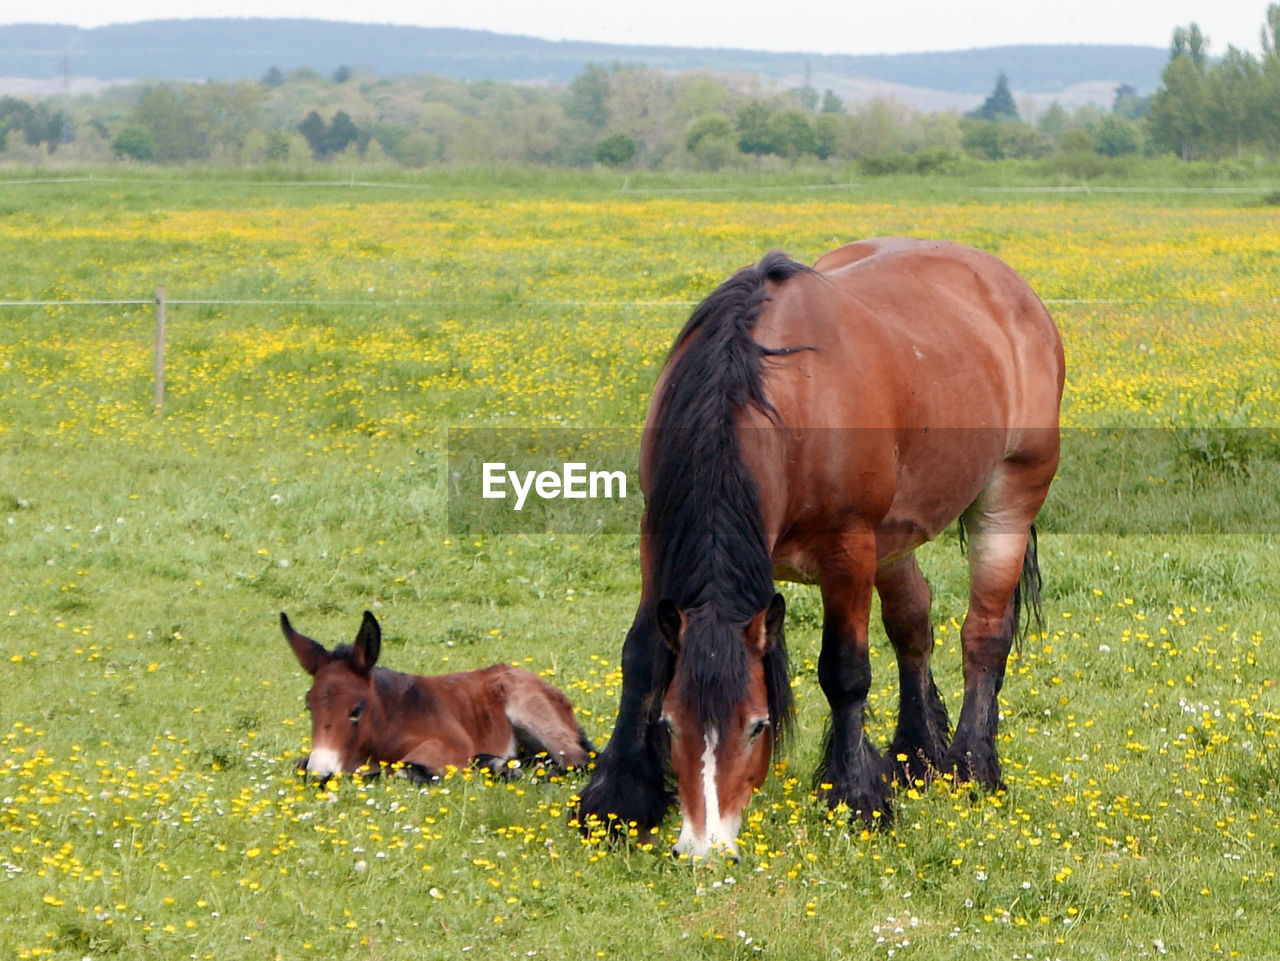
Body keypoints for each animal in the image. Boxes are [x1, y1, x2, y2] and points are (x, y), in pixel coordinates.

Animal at [282, 616, 591, 783]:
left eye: (355, 711)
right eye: (309, 707)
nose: (319, 773)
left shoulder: (451, 744)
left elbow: (407, 768)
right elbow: (297, 765)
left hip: (529, 709)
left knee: (578, 761)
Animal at [576, 236, 1064, 859]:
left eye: (758, 726)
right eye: (668, 725)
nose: (706, 848)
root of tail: (1009, 285)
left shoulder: (848, 550)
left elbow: (845, 671)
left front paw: (856, 798)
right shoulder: (655, 533)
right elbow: (640, 656)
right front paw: (618, 801)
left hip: (1007, 499)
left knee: (983, 634)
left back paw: (971, 768)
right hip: (895, 538)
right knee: (913, 624)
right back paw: (915, 756)